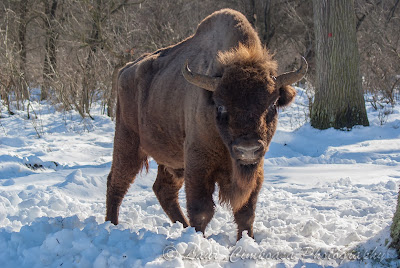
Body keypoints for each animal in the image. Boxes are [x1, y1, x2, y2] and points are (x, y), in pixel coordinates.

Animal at [106, 8, 306, 240]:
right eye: (220, 106)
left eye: (272, 104)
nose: (247, 149)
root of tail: (125, 70)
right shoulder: (198, 165)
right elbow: (202, 210)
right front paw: (198, 239)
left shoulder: (256, 169)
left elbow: (246, 211)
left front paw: (246, 241)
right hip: (128, 142)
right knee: (117, 182)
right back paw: (110, 225)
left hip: (172, 161)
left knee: (163, 190)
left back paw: (182, 226)